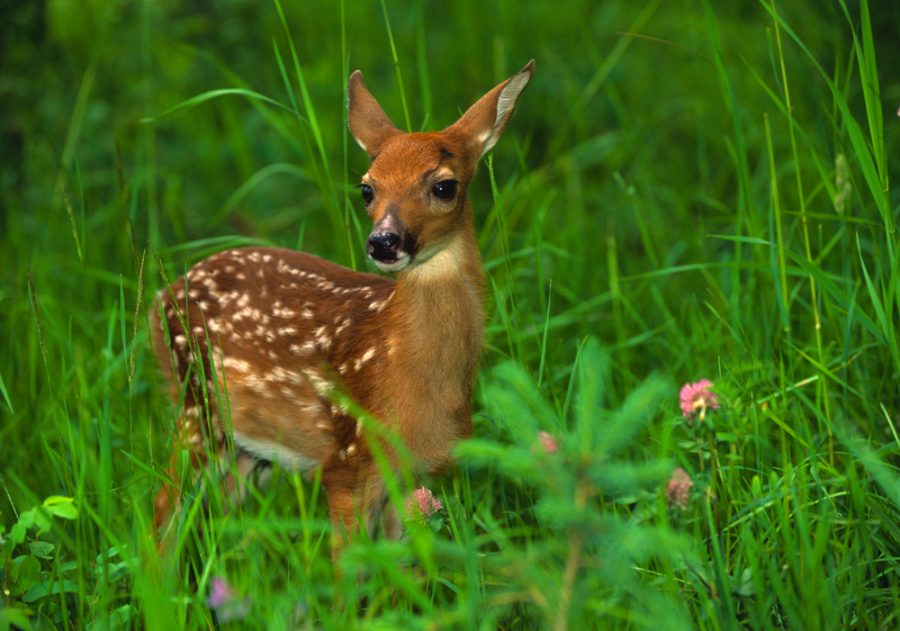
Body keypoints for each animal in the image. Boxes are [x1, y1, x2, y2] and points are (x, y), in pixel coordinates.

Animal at [152, 59, 536, 556]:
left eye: (444, 186)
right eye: (366, 189)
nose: (384, 242)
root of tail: (163, 297)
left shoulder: (418, 475)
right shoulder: (347, 464)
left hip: (245, 448)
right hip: (196, 406)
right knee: (163, 506)